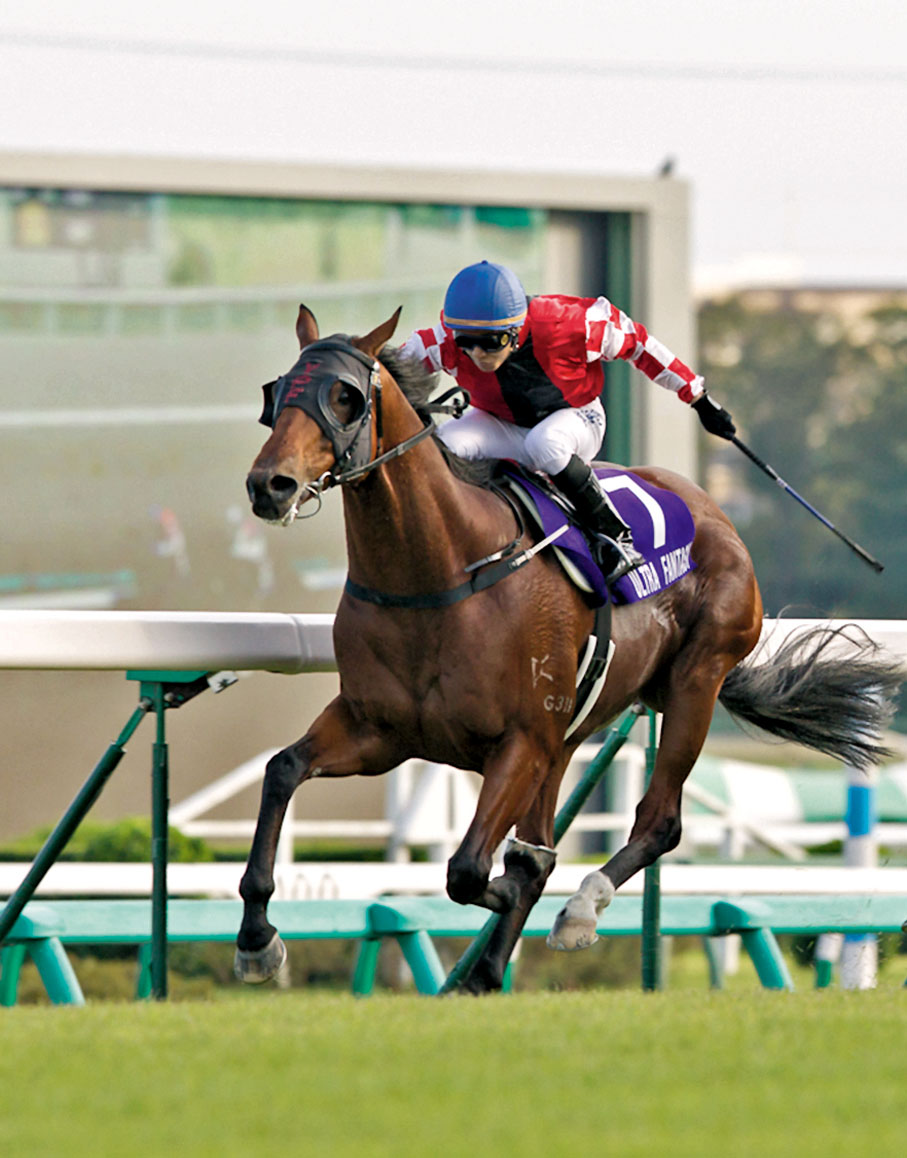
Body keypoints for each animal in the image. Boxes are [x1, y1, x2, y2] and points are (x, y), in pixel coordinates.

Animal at [235, 305, 903, 994]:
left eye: (344, 397)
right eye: (276, 393)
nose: (270, 484)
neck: (435, 576)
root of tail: (713, 511)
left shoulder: (520, 741)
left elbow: (475, 870)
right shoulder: (380, 730)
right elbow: (283, 769)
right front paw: (258, 939)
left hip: (694, 680)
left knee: (658, 820)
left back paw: (580, 909)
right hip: (571, 735)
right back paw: (488, 966)